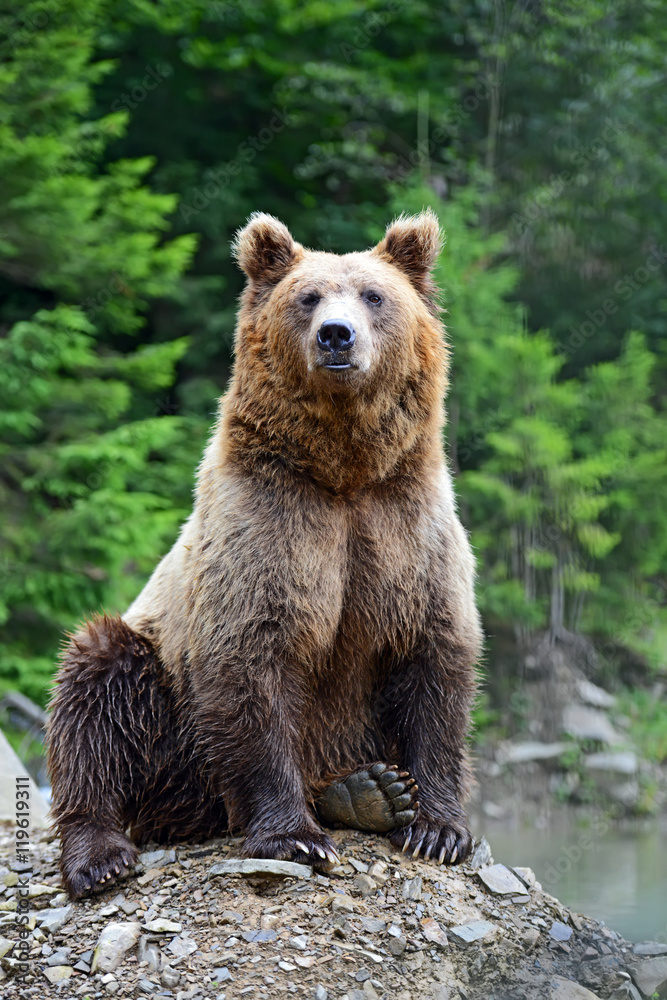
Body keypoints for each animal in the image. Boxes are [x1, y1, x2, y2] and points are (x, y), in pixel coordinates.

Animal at [46, 210, 483, 899]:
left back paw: (371, 791)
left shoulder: (406, 529)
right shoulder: (267, 526)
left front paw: (438, 828)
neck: (343, 472)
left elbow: (435, 664)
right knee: (96, 689)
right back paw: (100, 854)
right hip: (166, 711)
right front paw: (294, 836)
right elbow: (253, 661)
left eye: (373, 295)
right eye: (307, 297)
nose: (336, 336)